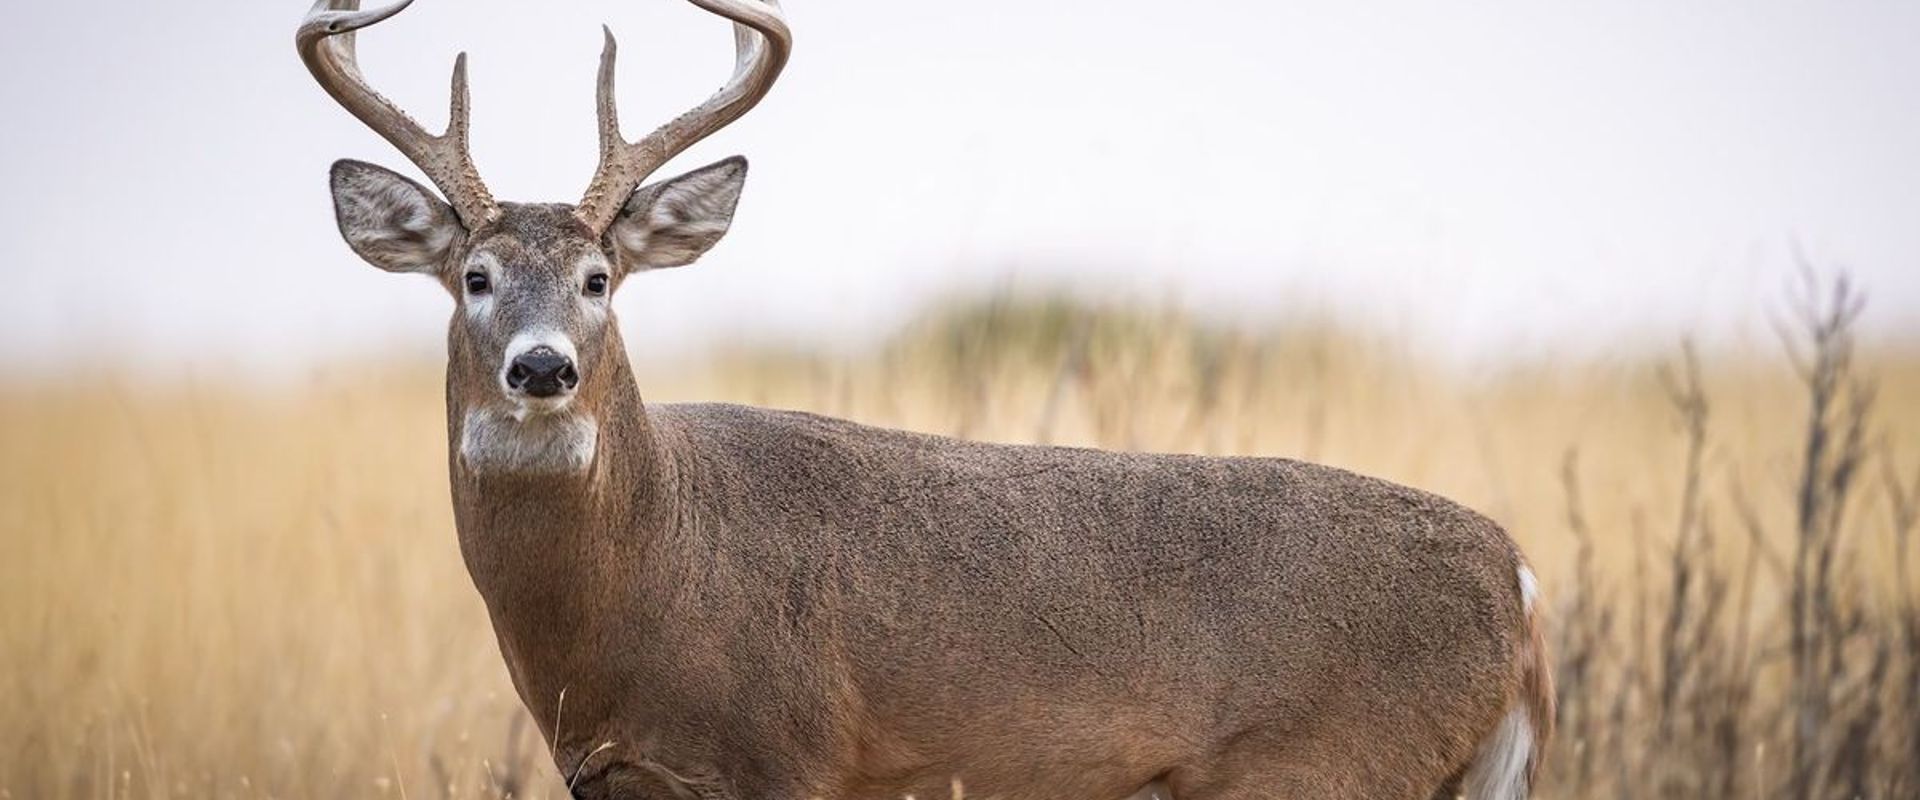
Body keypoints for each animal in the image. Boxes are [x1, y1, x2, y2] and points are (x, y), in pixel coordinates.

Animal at [299, 1, 1553, 797]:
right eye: (474, 276)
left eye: (601, 277)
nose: (544, 368)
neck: (652, 556)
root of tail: (1522, 579)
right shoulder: (609, 773)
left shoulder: (789, 752)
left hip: (1328, 760)